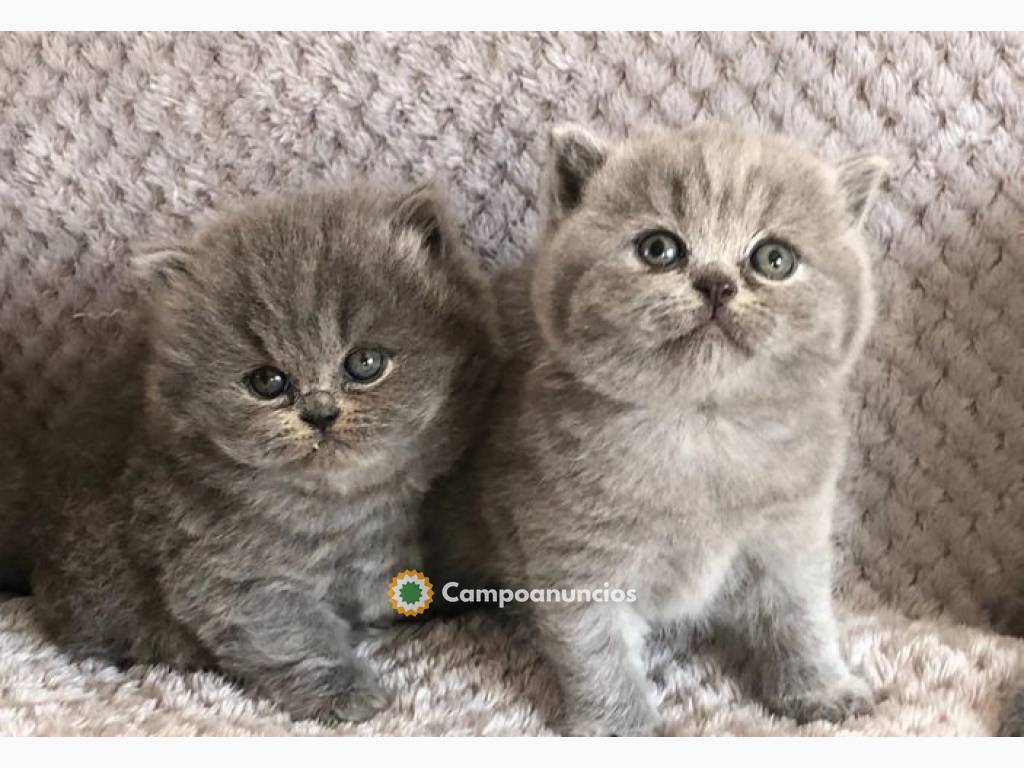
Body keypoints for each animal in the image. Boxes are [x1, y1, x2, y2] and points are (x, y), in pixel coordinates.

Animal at [0, 183, 499, 724]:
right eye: (267, 381)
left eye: (365, 363)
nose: (320, 413)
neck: (344, 508)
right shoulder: (224, 567)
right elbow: (287, 633)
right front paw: (344, 691)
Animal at [425, 123, 888, 737]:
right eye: (658, 249)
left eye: (775, 259)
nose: (716, 283)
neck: (702, 427)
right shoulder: (573, 549)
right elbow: (596, 649)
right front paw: (622, 726)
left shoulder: (793, 529)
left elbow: (802, 615)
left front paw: (820, 687)